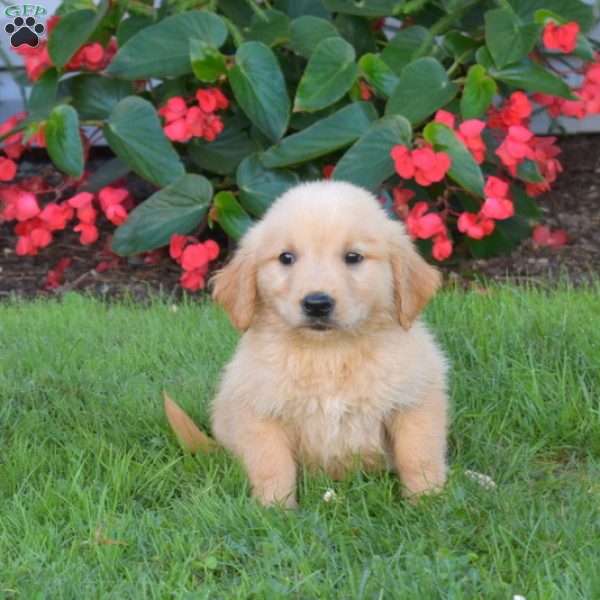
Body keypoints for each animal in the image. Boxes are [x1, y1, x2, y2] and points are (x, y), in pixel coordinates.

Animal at [211, 182, 446, 506]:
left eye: (353, 257)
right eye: (286, 257)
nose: (317, 304)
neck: (329, 353)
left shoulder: (415, 399)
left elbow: (419, 456)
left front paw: (427, 503)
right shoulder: (260, 412)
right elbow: (273, 466)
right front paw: (275, 509)